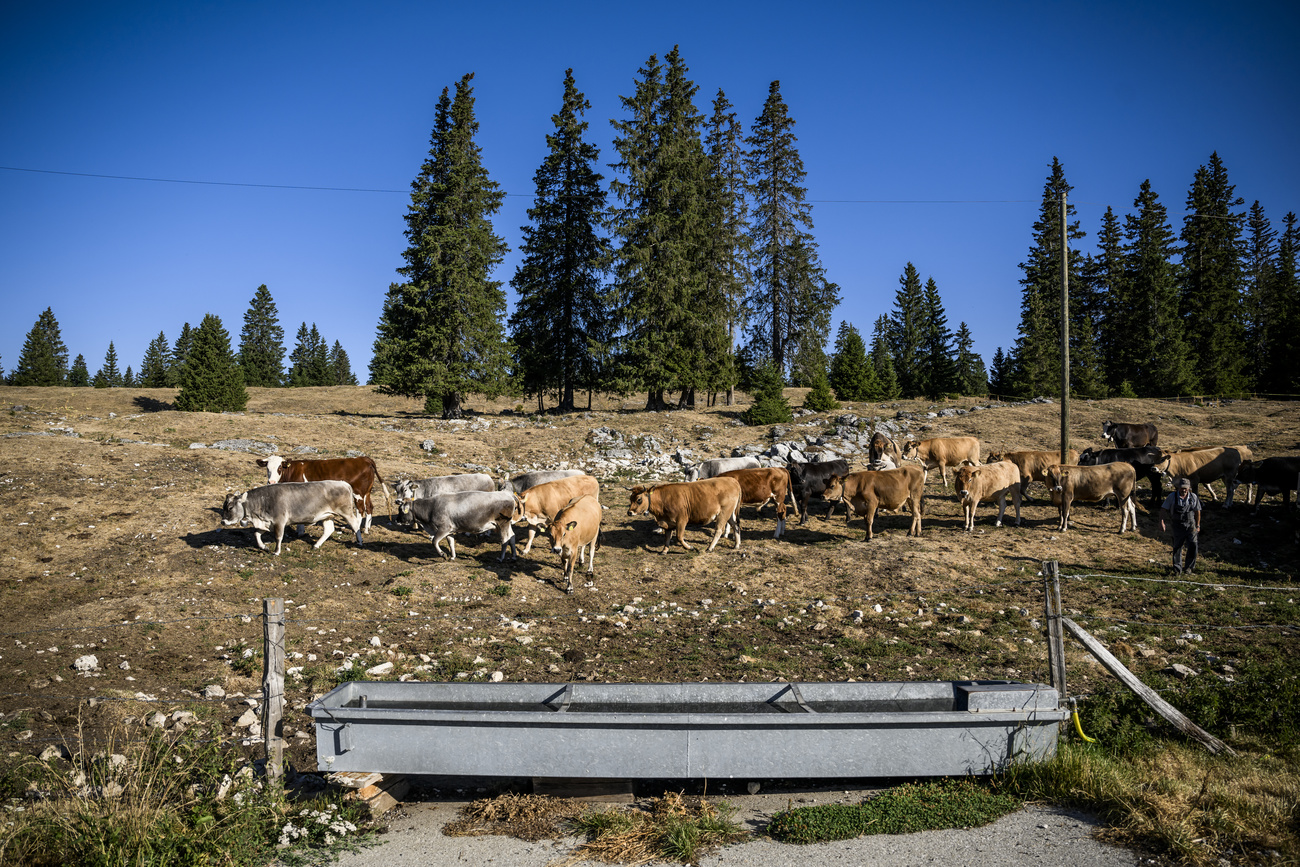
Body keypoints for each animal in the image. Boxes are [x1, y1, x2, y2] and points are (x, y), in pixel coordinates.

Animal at [221, 481, 363, 556]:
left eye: (230, 507)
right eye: (224, 506)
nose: (223, 521)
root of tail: (344, 483)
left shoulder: (279, 521)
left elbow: (278, 537)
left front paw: (276, 551)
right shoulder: (266, 523)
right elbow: (256, 534)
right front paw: (264, 547)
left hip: (346, 512)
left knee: (356, 524)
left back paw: (359, 541)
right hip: (327, 515)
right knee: (329, 530)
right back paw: (316, 545)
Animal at [257, 455, 389, 533]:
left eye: (279, 468)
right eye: (267, 468)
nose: (271, 482)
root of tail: (364, 459)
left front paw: (300, 531)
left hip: (358, 492)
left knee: (360, 509)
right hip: (367, 492)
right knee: (369, 507)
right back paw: (366, 529)